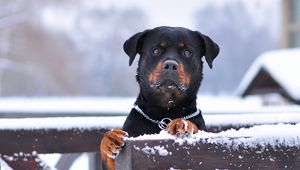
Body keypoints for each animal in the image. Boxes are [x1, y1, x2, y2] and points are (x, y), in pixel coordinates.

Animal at [99, 25, 219, 169]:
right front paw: (110, 138)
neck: (164, 112)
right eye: (156, 50)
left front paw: (182, 123)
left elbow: (195, 127)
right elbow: (107, 155)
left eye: (187, 52)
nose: (171, 65)